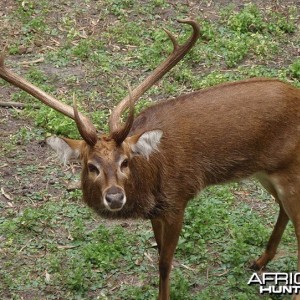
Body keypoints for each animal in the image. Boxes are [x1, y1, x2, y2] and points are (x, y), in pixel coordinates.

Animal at [1, 19, 300, 300]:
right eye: (91, 166)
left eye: (124, 162)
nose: (114, 197)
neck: (151, 181)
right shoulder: (156, 212)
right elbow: (158, 258)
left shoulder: (178, 199)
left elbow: (165, 263)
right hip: (266, 172)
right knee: (282, 210)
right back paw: (259, 261)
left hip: (290, 169)